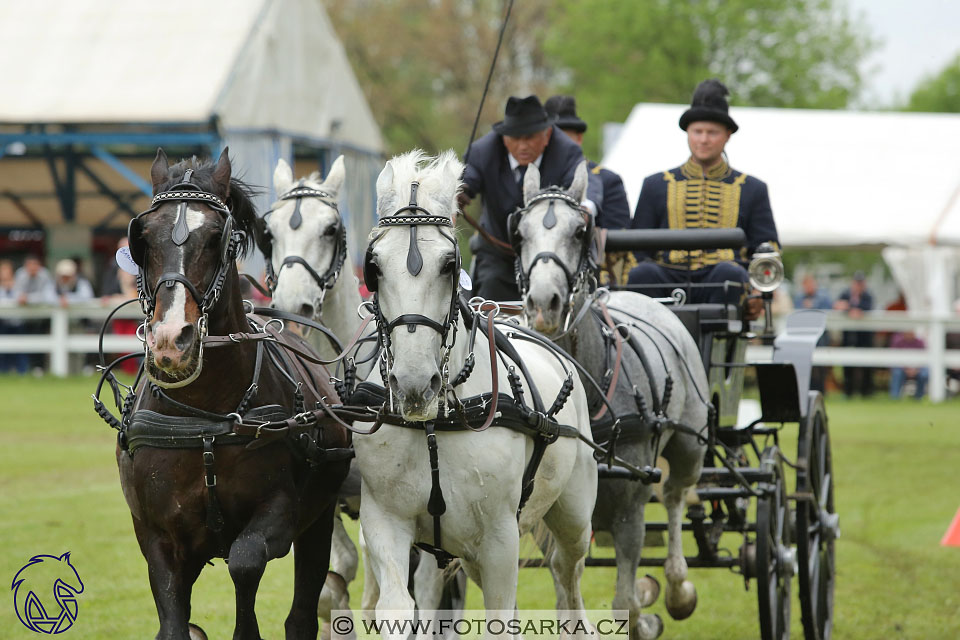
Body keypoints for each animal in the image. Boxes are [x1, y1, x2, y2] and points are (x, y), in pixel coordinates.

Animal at [114, 150, 350, 640]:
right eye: (143, 237)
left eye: (216, 239)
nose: (171, 341)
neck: (203, 417)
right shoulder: (157, 537)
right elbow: (172, 622)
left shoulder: (279, 514)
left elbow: (244, 562)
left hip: (320, 518)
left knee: (305, 609)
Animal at [358, 151, 600, 636]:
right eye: (373, 268)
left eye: (449, 264)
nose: (414, 385)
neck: (434, 422)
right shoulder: (383, 520)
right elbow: (396, 609)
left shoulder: (500, 539)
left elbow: (500, 617)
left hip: (572, 518)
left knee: (569, 582)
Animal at [510, 161, 712, 640]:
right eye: (520, 233)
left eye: (581, 230)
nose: (543, 304)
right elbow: (565, 581)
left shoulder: (630, 511)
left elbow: (623, 601)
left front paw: (645, 613)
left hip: (689, 446)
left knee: (675, 496)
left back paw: (677, 586)